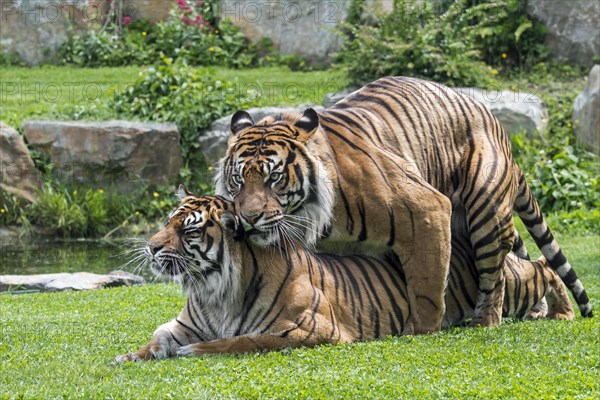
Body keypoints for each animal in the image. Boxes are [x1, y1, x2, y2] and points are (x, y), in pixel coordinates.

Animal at [116, 192, 572, 360]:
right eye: (167, 222)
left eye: (189, 230)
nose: (151, 247)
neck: (213, 288)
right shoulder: (182, 323)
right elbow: (157, 337)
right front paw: (130, 355)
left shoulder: (307, 328)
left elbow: (243, 340)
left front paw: (196, 351)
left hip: (511, 282)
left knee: (543, 266)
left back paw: (562, 312)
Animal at [214, 76, 592, 334]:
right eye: (238, 180)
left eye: (274, 178)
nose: (248, 218)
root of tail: (496, 124)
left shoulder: (427, 209)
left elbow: (427, 285)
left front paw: (422, 328)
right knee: (529, 260)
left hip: (486, 211)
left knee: (495, 274)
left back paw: (485, 321)